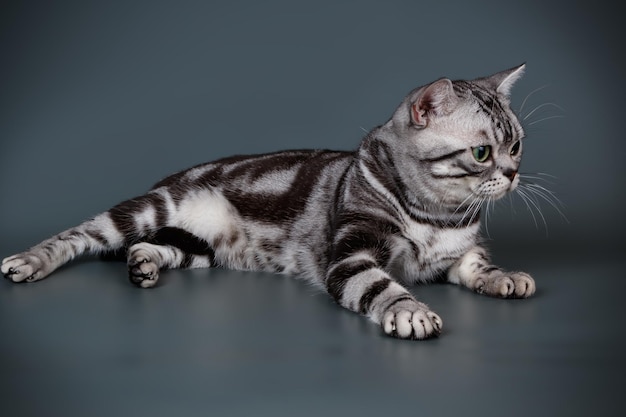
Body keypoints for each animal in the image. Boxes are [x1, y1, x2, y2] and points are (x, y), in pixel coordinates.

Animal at [2, 64, 532, 338]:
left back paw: (143, 266)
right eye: (483, 153)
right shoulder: (352, 256)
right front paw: (410, 311)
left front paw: (505, 277)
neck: (437, 214)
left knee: (151, 247)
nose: (513, 174)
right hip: (149, 209)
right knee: (80, 235)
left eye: (517, 145)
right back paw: (28, 261)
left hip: (200, 249)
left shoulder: (456, 254)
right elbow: (382, 286)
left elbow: (478, 265)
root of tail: (172, 176)